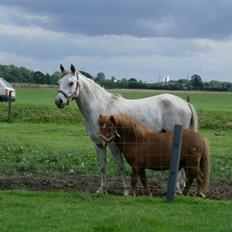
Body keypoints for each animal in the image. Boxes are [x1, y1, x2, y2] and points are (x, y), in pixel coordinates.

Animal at [54, 64, 198, 195]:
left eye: (71, 83)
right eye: (59, 82)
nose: (59, 101)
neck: (100, 108)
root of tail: (186, 103)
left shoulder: (112, 144)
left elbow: (120, 166)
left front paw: (126, 190)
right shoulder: (98, 144)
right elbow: (103, 166)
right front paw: (102, 189)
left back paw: (177, 189)